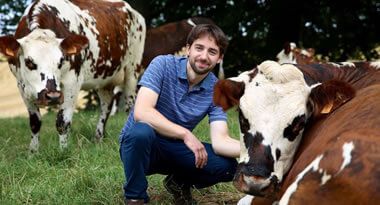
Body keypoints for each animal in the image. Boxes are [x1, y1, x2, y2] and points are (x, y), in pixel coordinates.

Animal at [0, 0, 145, 151]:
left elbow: (62, 122)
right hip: (105, 78)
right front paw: (33, 152)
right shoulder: (21, 85)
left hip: (132, 71)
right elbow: (35, 122)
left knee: (130, 105)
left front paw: (63, 151)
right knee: (106, 106)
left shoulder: (72, 82)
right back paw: (98, 139)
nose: (52, 96)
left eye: (61, 60)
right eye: (29, 62)